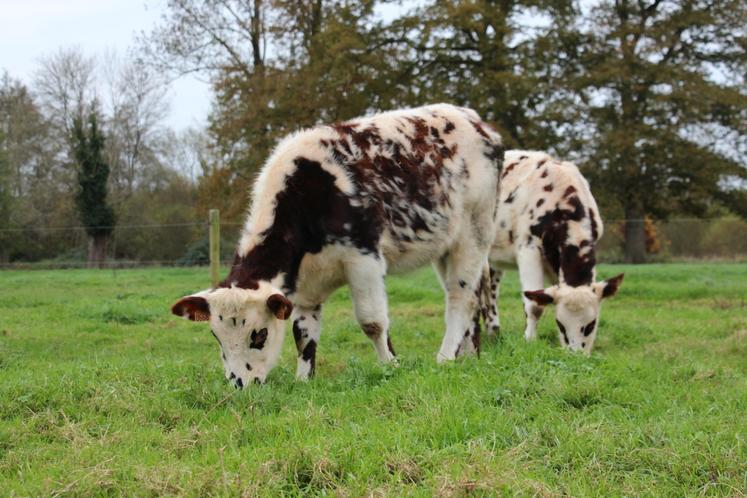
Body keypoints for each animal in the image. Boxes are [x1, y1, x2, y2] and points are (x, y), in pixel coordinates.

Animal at [172, 103, 506, 388]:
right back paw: (470, 354)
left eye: (260, 335)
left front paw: (391, 366)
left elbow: (372, 322)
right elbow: (303, 332)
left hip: (475, 232)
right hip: (446, 245)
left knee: (460, 297)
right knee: (475, 297)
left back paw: (446, 356)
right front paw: (303, 379)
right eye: (217, 337)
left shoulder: (364, 257)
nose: (240, 384)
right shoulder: (305, 284)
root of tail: (475, 121)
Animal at [480, 150, 624, 352]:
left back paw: (493, 331)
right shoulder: (528, 249)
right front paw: (529, 341)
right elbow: (535, 306)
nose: (575, 355)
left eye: (591, 325)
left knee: (491, 287)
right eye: (560, 324)